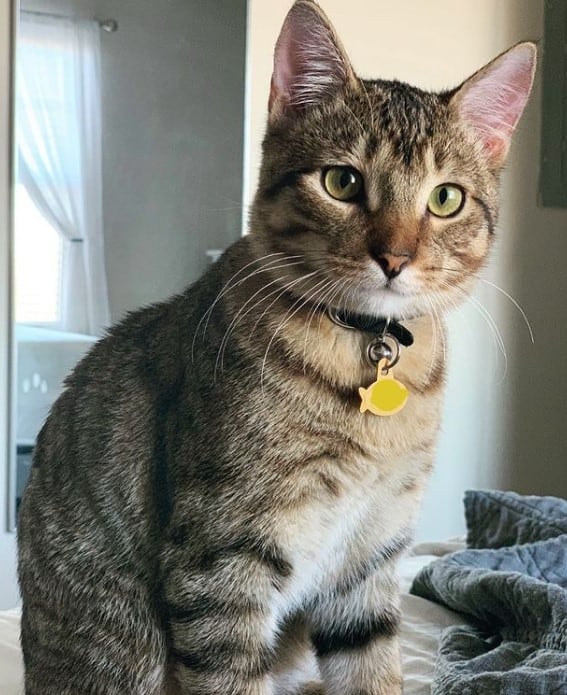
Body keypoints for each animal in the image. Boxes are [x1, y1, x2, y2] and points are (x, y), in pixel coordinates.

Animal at [15, 1, 536, 695]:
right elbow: (231, 672)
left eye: (445, 198)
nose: (395, 258)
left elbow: (374, 668)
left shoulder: (370, 557)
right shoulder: (221, 561)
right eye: (342, 182)